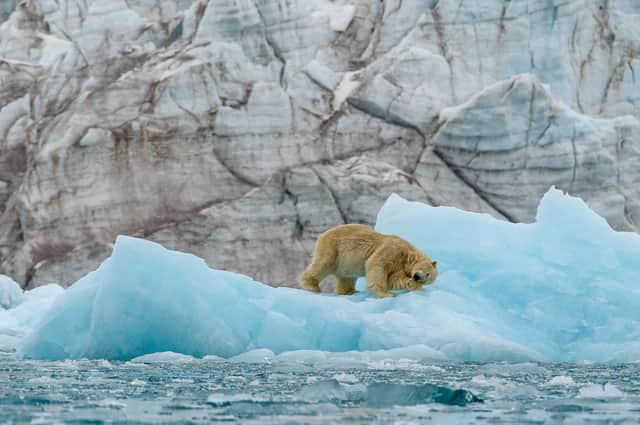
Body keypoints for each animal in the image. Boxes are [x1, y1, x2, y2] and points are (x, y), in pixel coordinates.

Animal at [298, 224, 438, 296]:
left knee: (347, 276)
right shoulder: (392, 250)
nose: (418, 278)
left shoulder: (399, 266)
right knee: (323, 263)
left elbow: (393, 278)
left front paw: (411, 284)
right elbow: (378, 265)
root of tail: (325, 233)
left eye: (428, 278)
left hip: (346, 262)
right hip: (333, 247)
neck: (406, 254)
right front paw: (385, 294)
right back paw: (311, 285)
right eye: (427, 273)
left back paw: (350, 291)